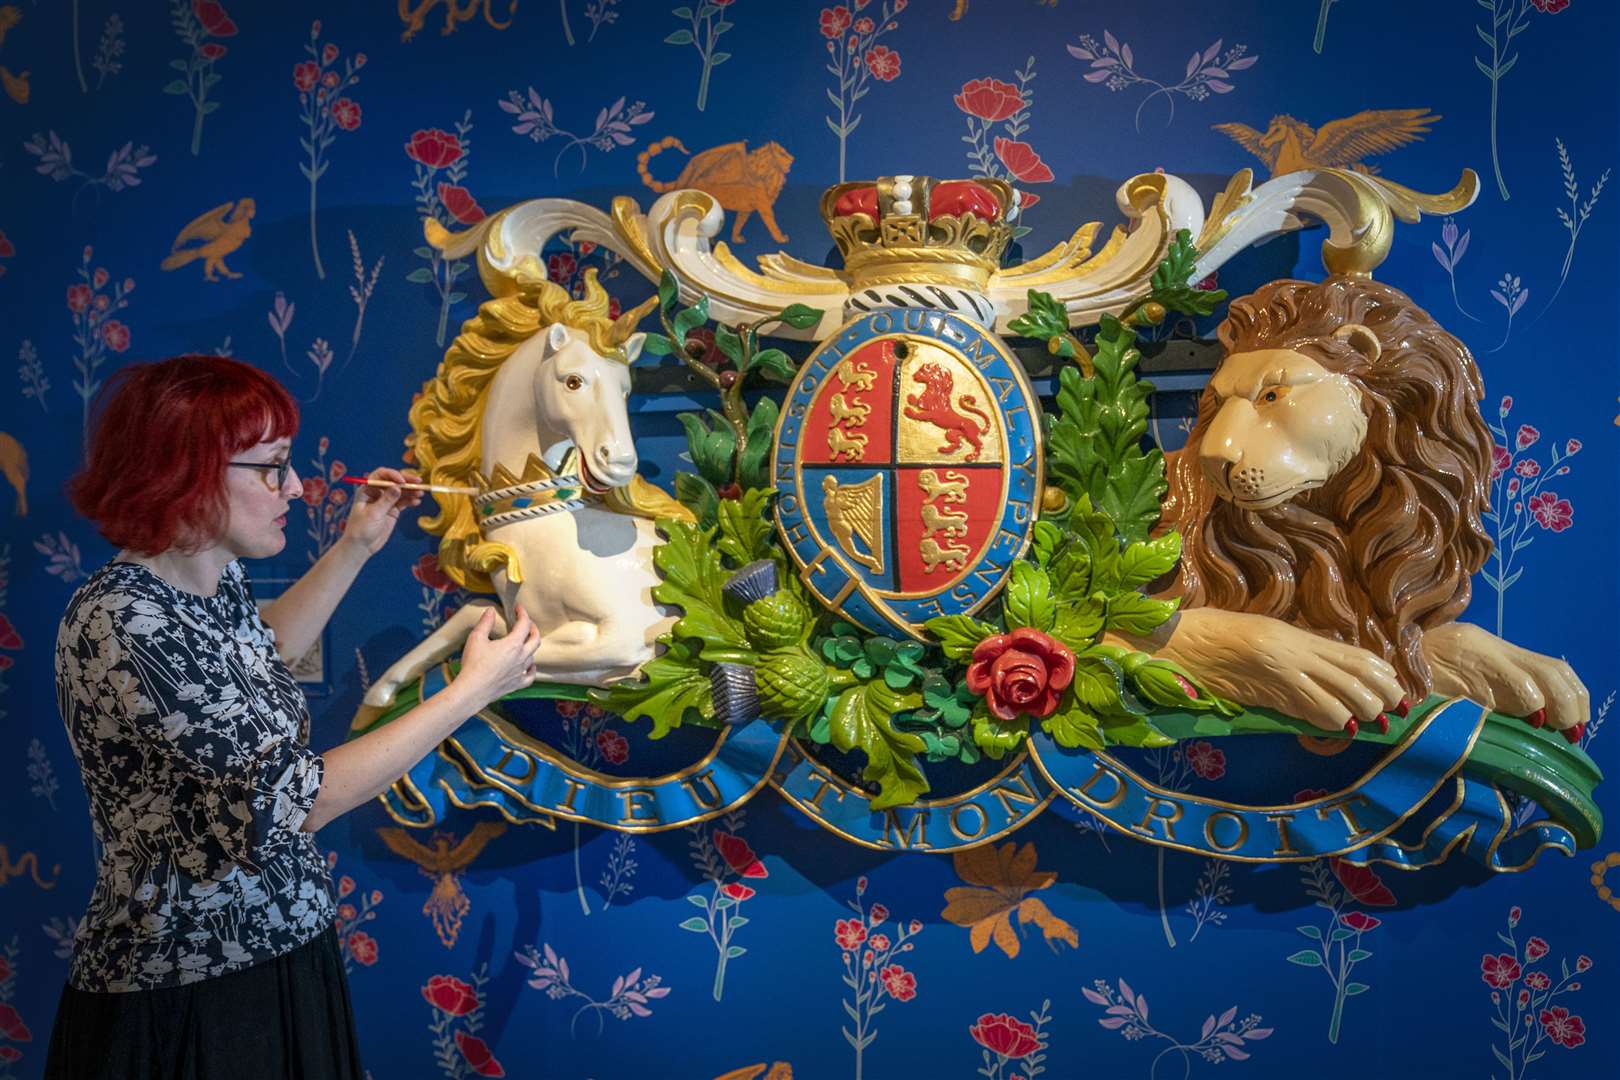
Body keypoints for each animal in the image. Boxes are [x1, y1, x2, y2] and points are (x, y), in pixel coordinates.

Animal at [1121, 275, 1587, 738]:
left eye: (1271, 395)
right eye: (1216, 400)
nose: (1215, 461)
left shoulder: (1387, 615)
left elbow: (1436, 641)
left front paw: (1531, 672)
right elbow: (1179, 628)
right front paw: (1322, 670)